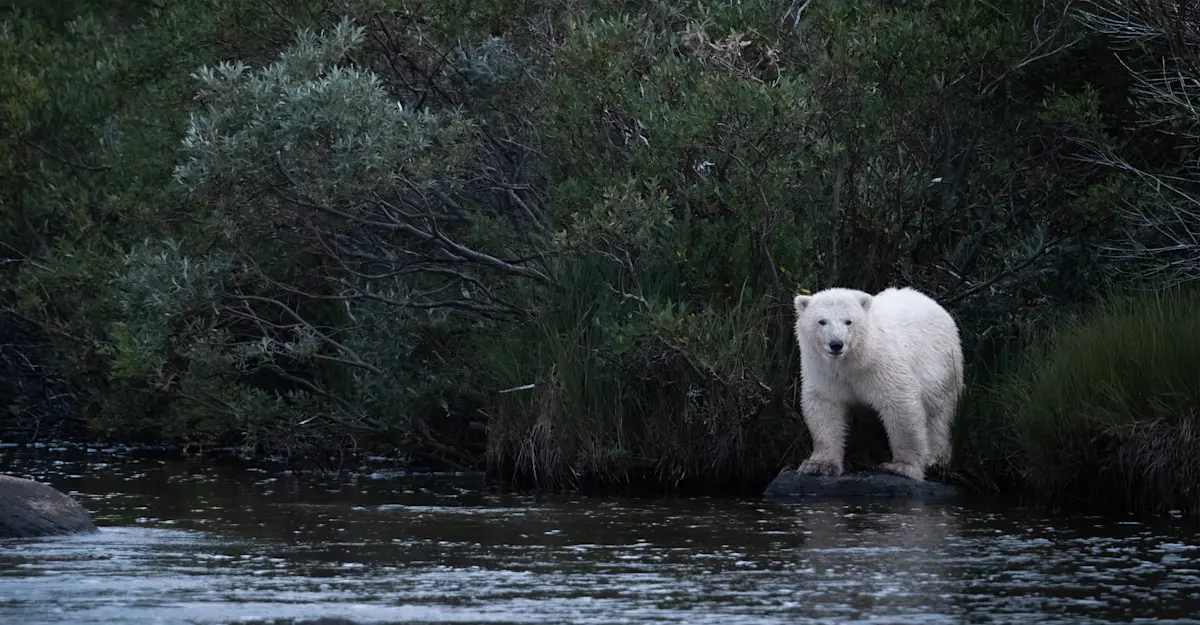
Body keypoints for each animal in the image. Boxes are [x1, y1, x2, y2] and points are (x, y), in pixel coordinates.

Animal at [791, 286, 964, 481]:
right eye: (821, 321)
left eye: (848, 321)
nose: (836, 344)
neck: (853, 360)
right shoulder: (824, 371)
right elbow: (824, 406)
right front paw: (819, 465)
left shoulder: (880, 365)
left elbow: (900, 404)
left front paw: (902, 466)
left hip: (942, 366)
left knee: (939, 414)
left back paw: (936, 459)